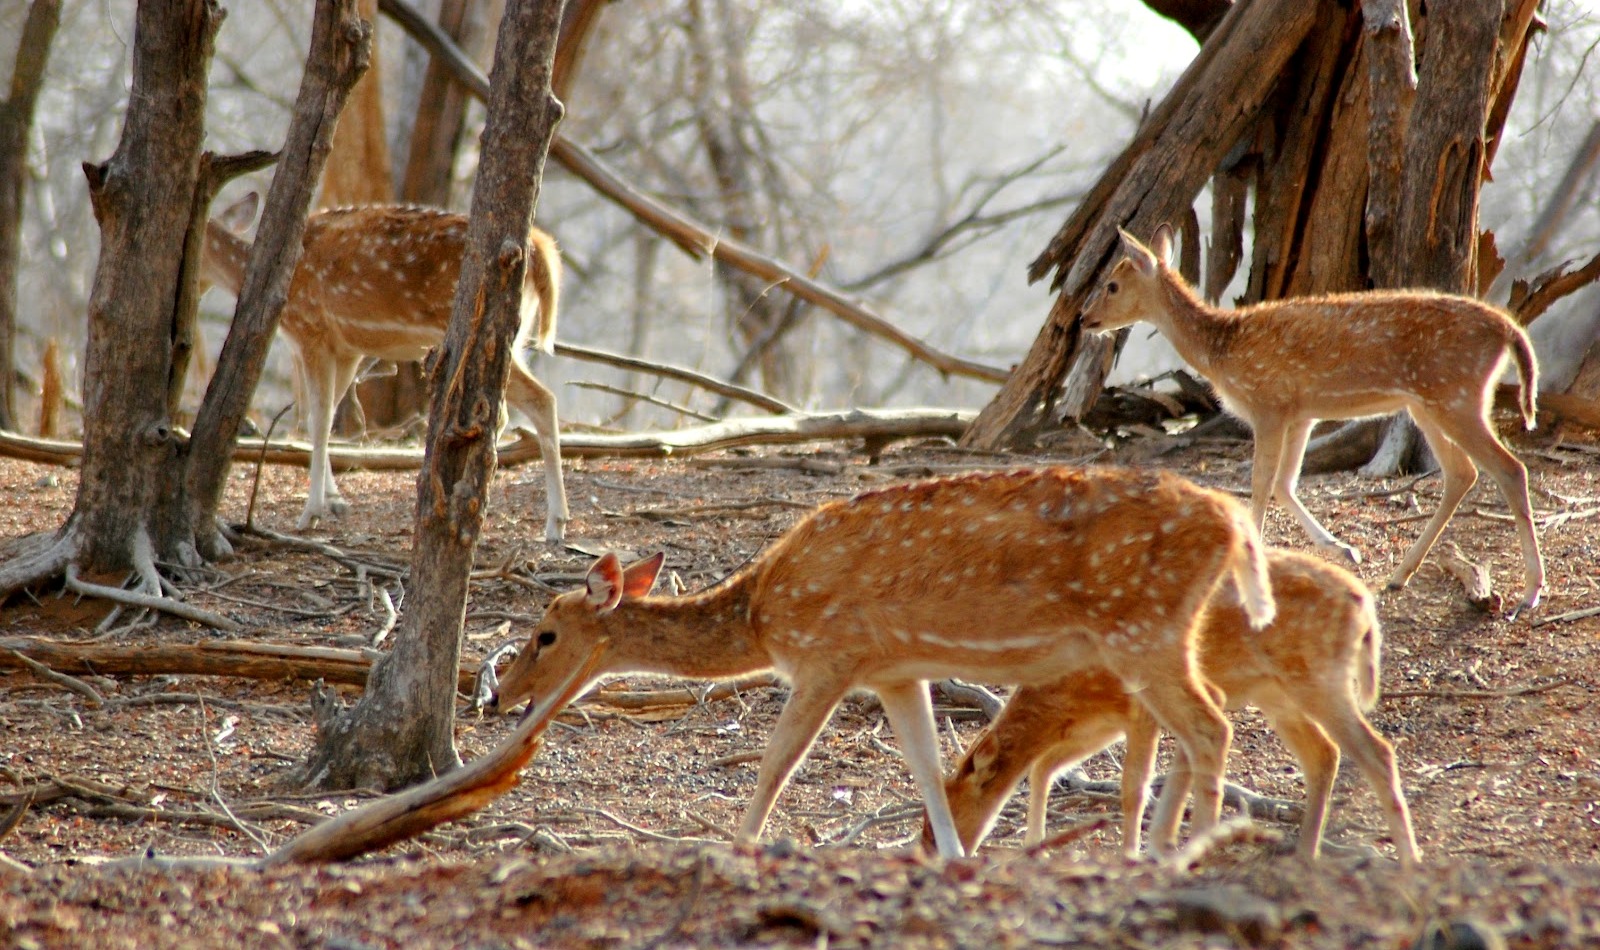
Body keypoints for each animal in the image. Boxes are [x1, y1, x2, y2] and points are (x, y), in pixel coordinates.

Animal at [203, 191, 569, 537]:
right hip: (515, 339)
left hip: (485, 330)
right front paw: (335, 501)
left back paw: (555, 523)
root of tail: (540, 249)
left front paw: (312, 512)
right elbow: (324, 417)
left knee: (541, 399)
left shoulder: (312, 330)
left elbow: (317, 420)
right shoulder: (347, 348)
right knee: (508, 409)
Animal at [489, 467, 1273, 857]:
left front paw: (737, 846)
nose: (497, 696)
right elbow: (927, 768)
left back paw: (1191, 851)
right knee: (1199, 728)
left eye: (545, 634)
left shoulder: (830, 655)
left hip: (1144, 627)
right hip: (1158, 633)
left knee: (1211, 726)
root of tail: (1234, 523)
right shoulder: (895, 670)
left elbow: (777, 762)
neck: (762, 614)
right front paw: (952, 857)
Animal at [928, 546, 1427, 863]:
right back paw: (1306, 853)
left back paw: (1408, 859)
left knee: (1377, 751)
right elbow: (1045, 766)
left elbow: (1135, 785)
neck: (1071, 693)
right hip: (1277, 695)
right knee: (1324, 753)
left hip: (1319, 682)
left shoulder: (1140, 708)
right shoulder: (1102, 722)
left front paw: (1135, 852)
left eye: (943, 818)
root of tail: (1364, 607)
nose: (927, 851)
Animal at [1081, 225, 1542, 610]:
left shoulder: (1267, 404)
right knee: (1463, 472)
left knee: (1510, 468)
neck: (1222, 353)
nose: (1085, 319)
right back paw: (1399, 576)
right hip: (1429, 403)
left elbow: (1260, 484)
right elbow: (1285, 483)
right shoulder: (1301, 412)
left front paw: (1244, 575)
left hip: (1456, 396)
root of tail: (1509, 329)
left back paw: (1530, 593)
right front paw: (1343, 549)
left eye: (1112, 284)